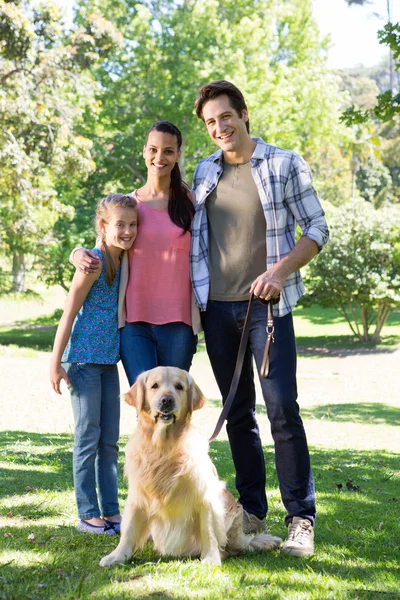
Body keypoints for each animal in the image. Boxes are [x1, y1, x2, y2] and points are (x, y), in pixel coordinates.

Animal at [99, 366, 282, 568]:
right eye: (154, 386)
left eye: (179, 387)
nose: (167, 400)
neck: (164, 448)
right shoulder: (138, 496)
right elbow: (129, 530)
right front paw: (117, 556)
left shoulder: (206, 496)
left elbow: (208, 531)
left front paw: (211, 558)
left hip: (233, 516)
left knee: (237, 546)